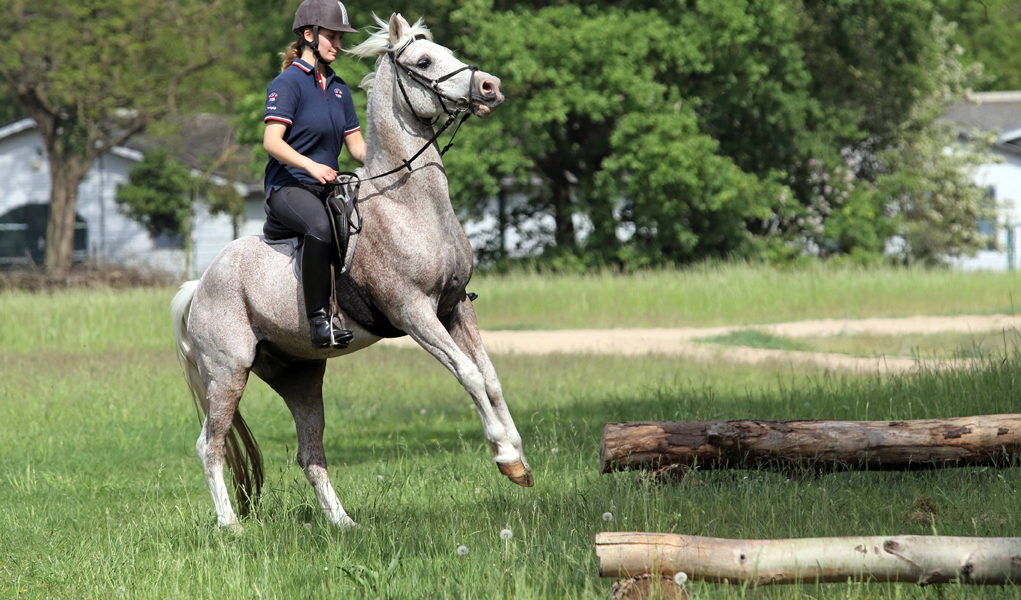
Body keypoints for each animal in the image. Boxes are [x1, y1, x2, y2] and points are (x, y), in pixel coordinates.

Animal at [168, 12, 535, 530]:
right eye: (424, 60)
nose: (490, 86)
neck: (407, 205)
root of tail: (200, 285)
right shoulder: (414, 314)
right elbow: (468, 374)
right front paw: (504, 456)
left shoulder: (455, 308)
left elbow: (491, 377)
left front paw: (518, 460)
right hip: (228, 374)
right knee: (210, 444)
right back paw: (231, 526)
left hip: (300, 378)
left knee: (309, 453)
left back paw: (342, 523)